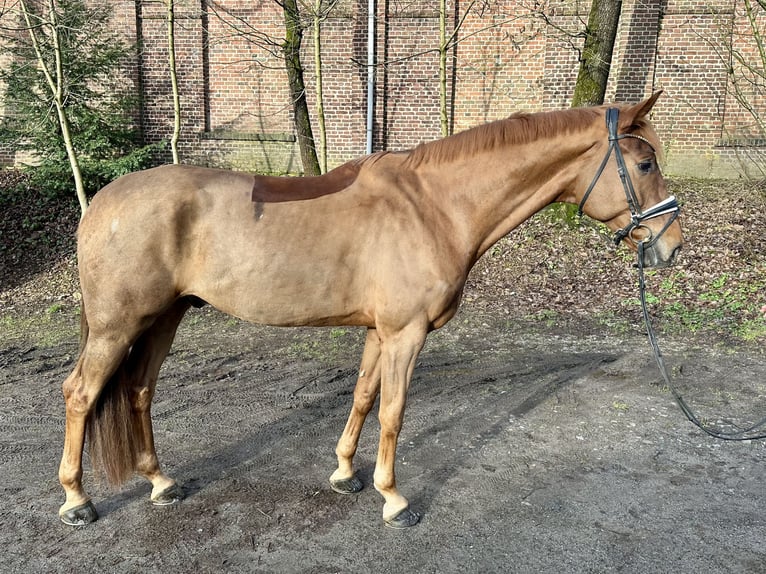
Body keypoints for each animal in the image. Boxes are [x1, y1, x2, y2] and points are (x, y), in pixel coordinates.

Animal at [60, 94, 684, 532]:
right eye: (645, 163)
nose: (671, 246)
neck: (433, 207)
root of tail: (102, 203)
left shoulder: (378, 332)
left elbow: (362, 398)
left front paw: (345, 474)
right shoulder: (405, 334)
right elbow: (394, 413)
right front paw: (394, 500)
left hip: (164, 319)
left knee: (138, 391)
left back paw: (160, 482)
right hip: (119, 326)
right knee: (82, 394)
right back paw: (76, 499)